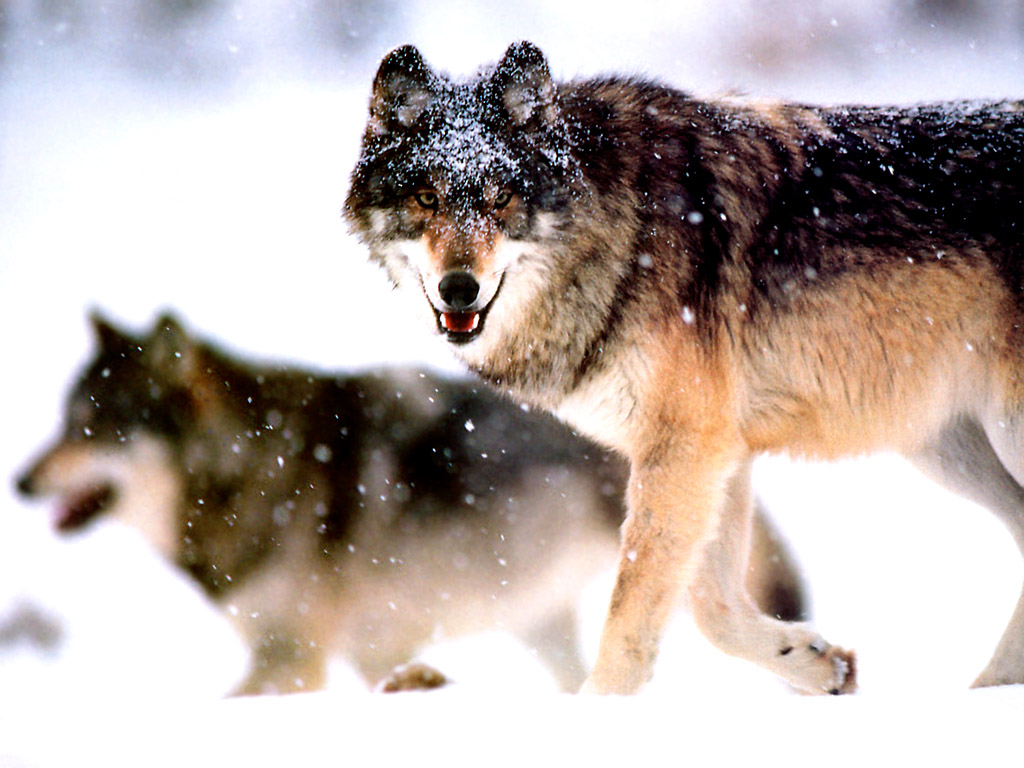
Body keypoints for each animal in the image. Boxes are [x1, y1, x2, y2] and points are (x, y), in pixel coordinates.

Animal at [12, 309, 802, 696]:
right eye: (65, 421)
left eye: (95, 427)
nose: (19, 482)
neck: (247, 468)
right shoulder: (372, 651)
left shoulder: (291, 660)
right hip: (541, 624)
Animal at [346, 41, 1024, 696]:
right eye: (427, 197)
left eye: (502, 198)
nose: (458, 288)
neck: (621, 234)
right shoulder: (714, 450)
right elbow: (711, 609)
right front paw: (816, 666)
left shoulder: (686, 446)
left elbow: (632, 613)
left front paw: (597, 712)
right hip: (946, 448)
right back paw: (988, 691)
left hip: (998, 431)